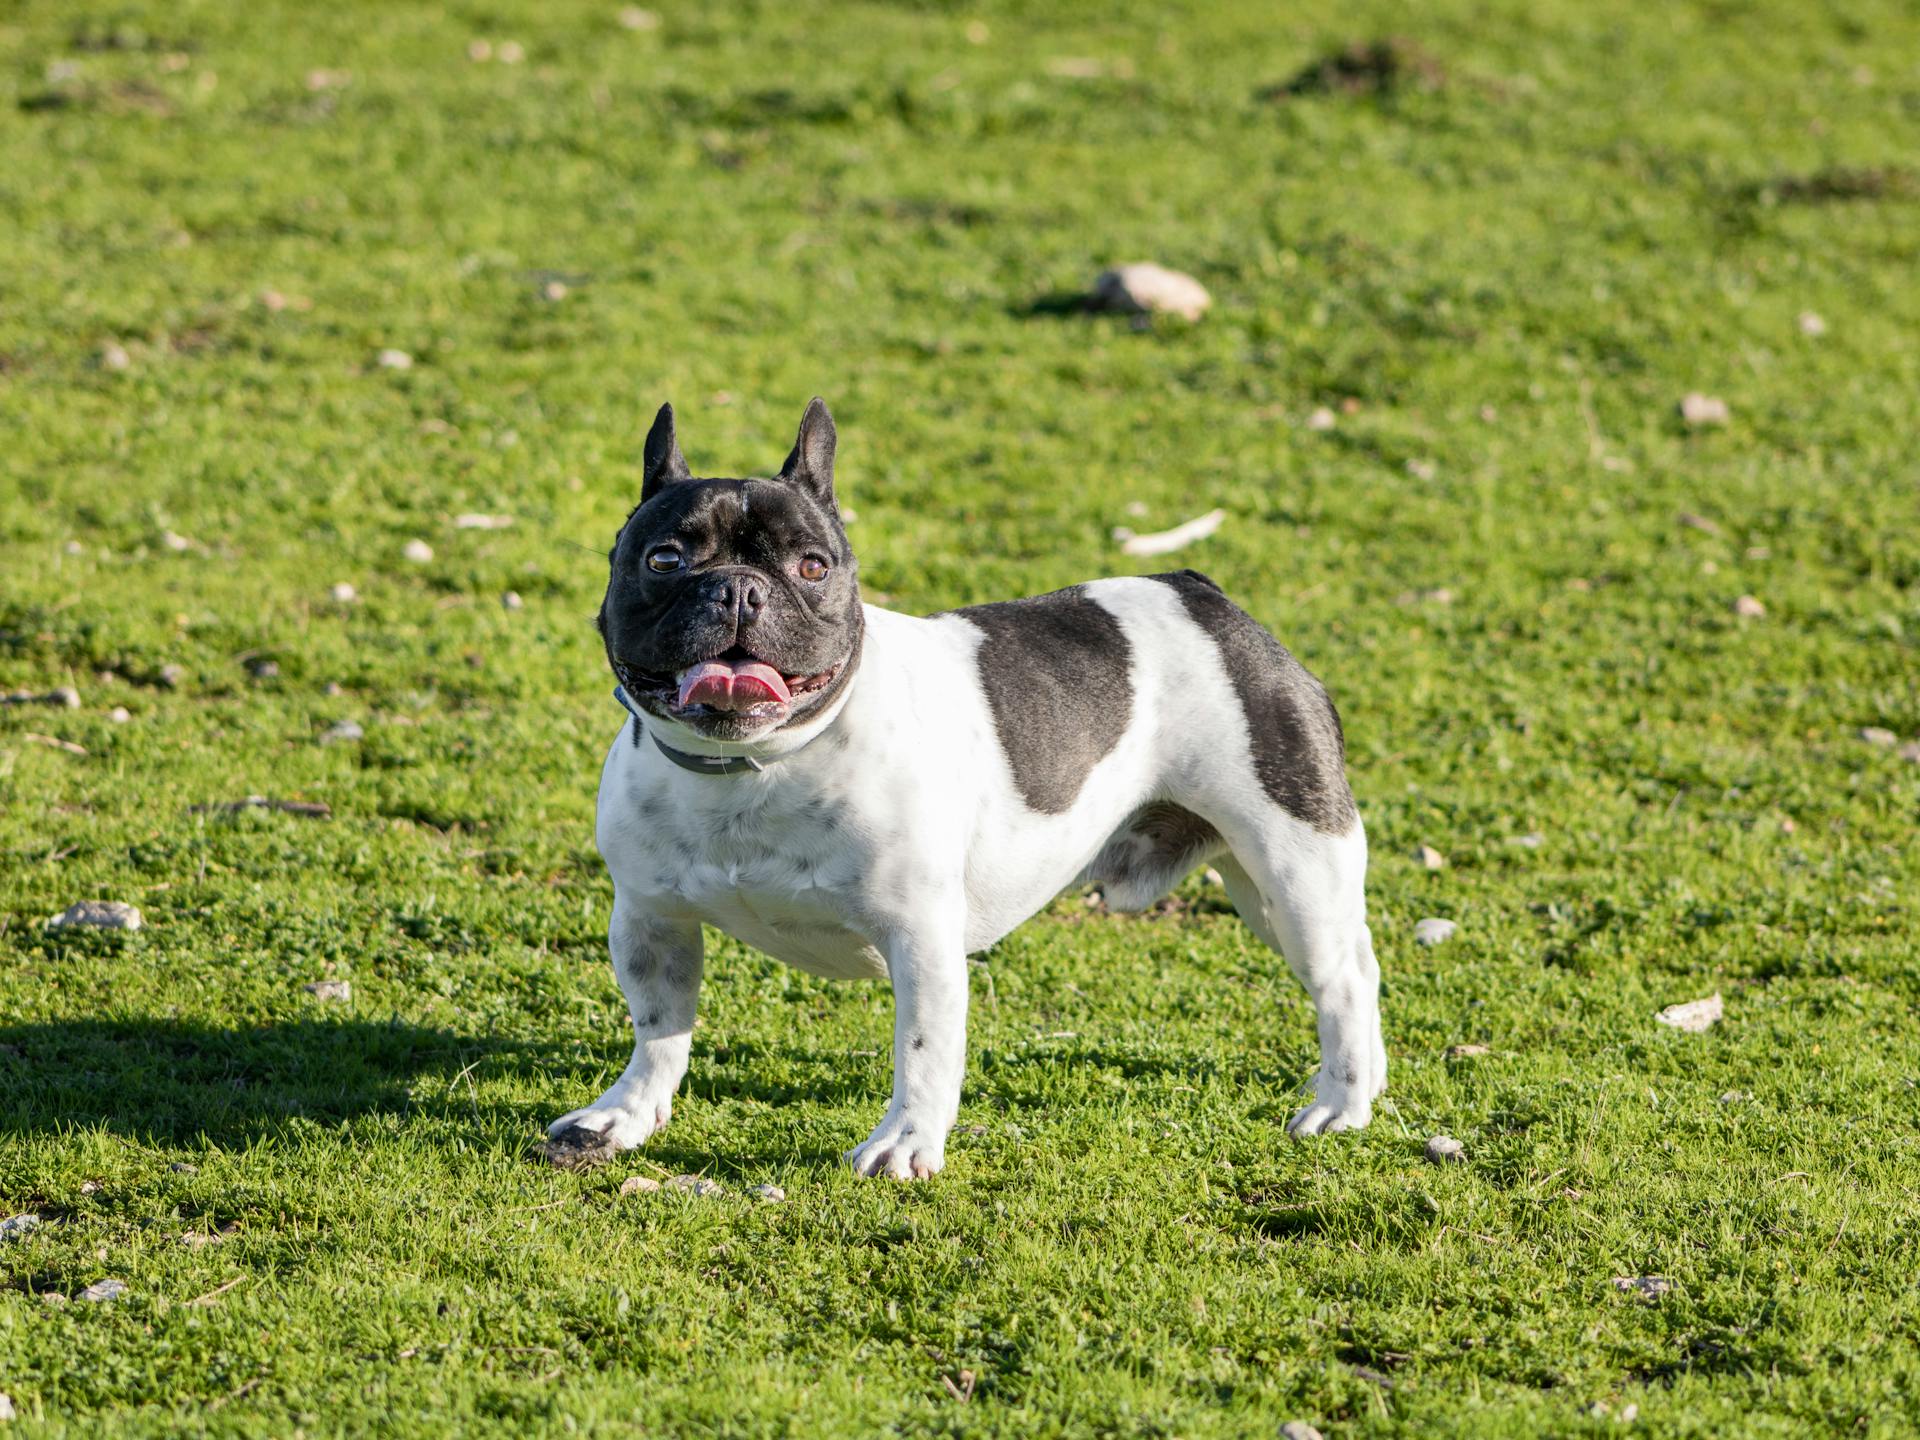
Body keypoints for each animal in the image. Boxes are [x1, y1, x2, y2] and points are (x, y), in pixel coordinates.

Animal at [549, 401, 1390, 1175]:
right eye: (664, 560)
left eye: (813, 568)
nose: (737, 590)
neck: (755, 766)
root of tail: (1208, 597)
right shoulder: (651, 919)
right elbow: (659, 1028)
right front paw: (624, 1115)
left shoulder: (920, 936)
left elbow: (923, 1048)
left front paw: (905, 1143)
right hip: (1259, 886)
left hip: (1295, 860)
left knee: (1343, 980)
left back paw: (1340, 1105)